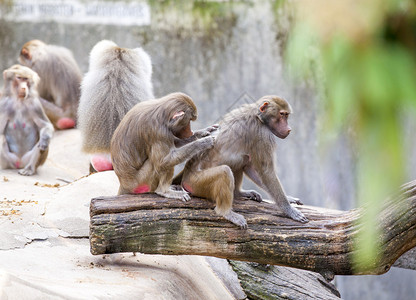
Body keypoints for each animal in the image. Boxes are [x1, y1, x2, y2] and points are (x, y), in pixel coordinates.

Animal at [180, 95, 310, 229]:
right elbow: (266, 171)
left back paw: (238, 193)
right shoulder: (262, 133)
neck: (258, 116)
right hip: (196, 182)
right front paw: (289, 210)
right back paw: (226, 213)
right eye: (282, 114)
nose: (289, 129)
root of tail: (186, 176)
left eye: (286, 115)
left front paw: (289, 198)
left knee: (242, 159)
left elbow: (252, 168)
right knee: (225, 171)